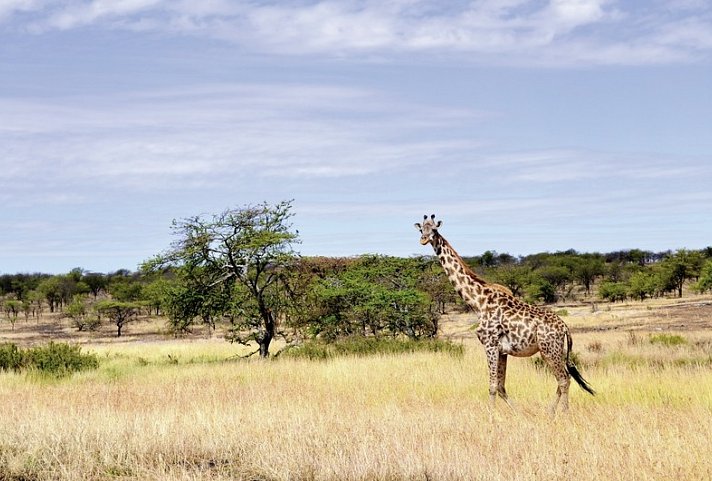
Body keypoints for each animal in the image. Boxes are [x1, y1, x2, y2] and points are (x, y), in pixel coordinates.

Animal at [414, 215, 592, 412]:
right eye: (421, 229)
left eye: (434, 230)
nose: (423, 240)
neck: (478, 301)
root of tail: (565, 327)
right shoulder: (503, 351)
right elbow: (501, 386)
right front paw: (517, 412)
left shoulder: (490, 344)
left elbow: (492, 386)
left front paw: (490, 415)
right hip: (551, 352)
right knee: (562, 380)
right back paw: (550, 411)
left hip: (549, 350)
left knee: (564, 380)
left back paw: (562, 412)